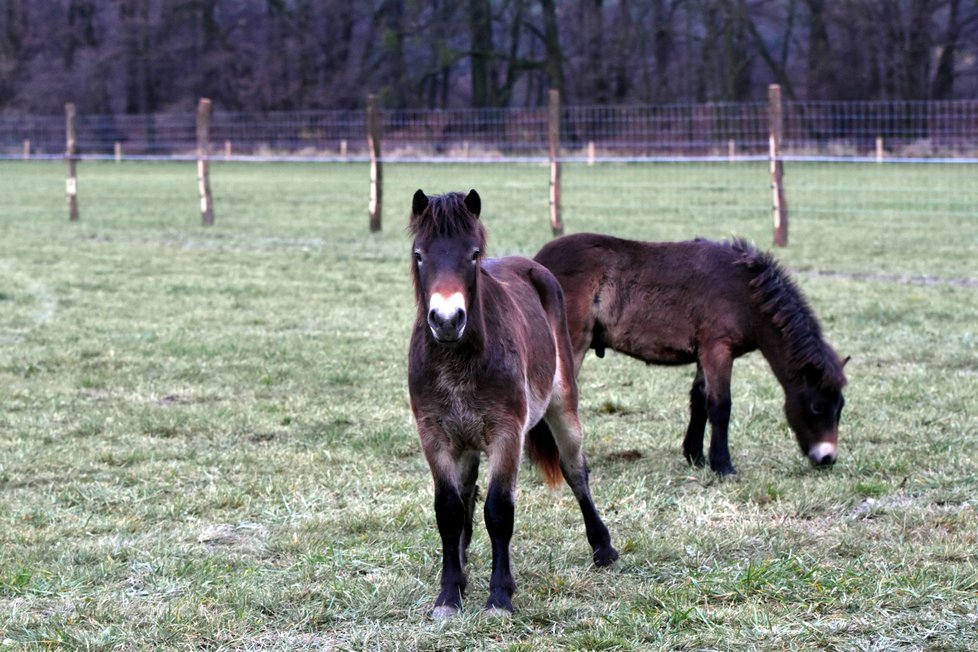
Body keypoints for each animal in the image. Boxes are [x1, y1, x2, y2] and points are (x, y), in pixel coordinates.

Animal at [408, 191, 612, 620]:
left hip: (562, 407)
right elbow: (449, 510)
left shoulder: (507, 434)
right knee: (467, 492)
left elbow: (499, 511)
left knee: (576, 470)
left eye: (473, 255)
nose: (447, 319)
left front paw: (500, 597)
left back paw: (604, 547)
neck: (457, 362)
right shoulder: (435, 436)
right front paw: (449, 593)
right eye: (420, 255)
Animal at [532, 233, 848, 474]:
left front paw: (696, 457)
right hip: (572, 344)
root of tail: (537, 264)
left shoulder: (704, 354)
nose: (827, 458)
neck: (744, 292)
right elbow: (720, 405)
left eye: (841, 406)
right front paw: (723, 466)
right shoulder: (718, 349)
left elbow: (699, 401)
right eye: (817, 406)